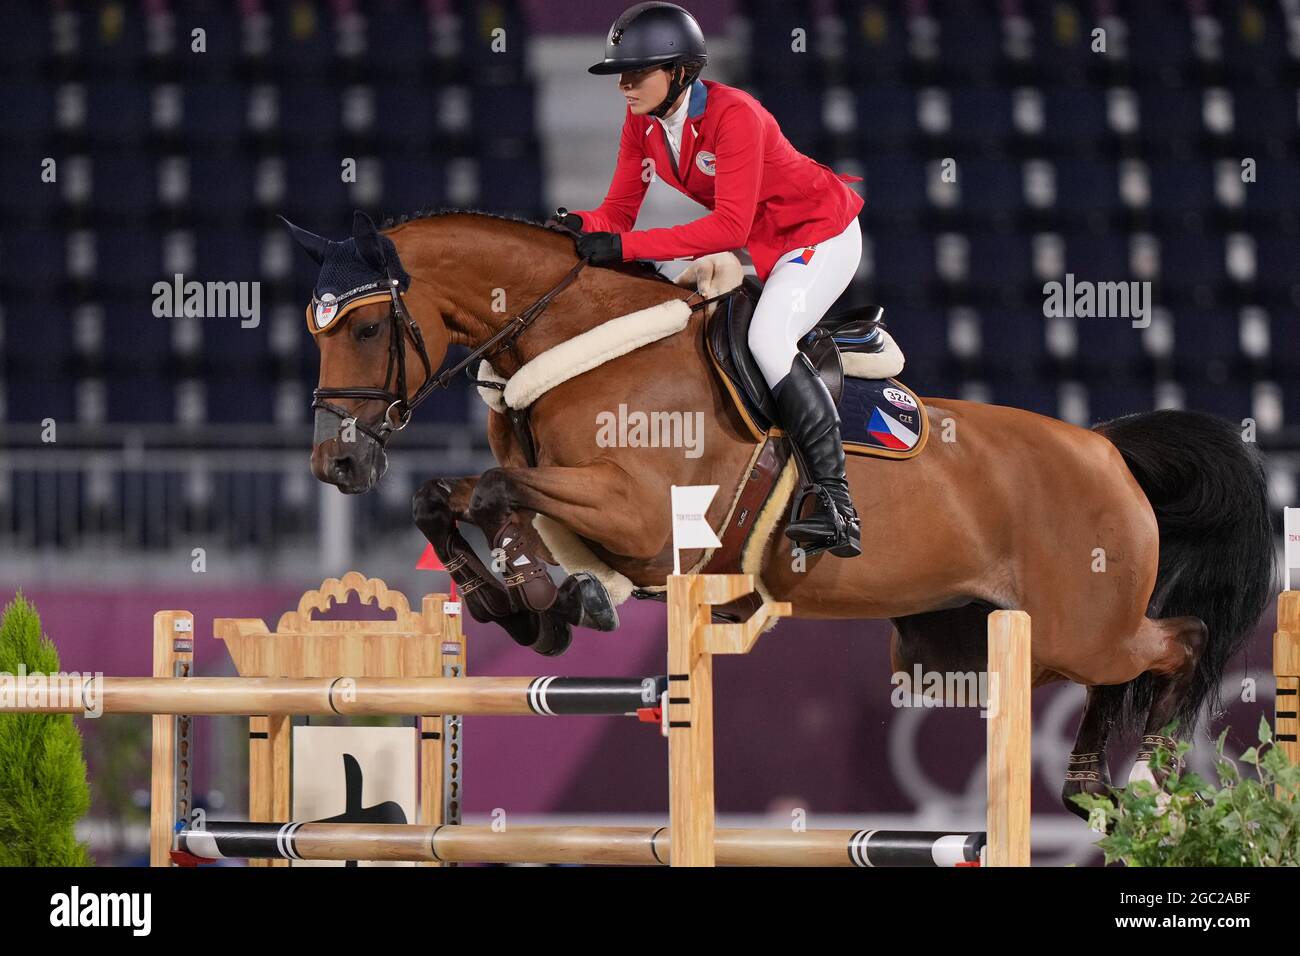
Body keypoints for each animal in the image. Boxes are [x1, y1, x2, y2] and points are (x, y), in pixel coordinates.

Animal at [289, 208, 1274, 816]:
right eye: (317, 330)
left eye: (367, 328)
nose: (338, 462)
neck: (578, 341)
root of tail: (1107, 448)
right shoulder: (594, 517)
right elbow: (459, 498)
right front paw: (531, 605)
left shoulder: (644, 520)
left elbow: (496, 493)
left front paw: (545, 602)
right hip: (959, 647)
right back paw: (1093, 786)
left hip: (1082, 626)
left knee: (1176, 643)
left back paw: (1153, 771)